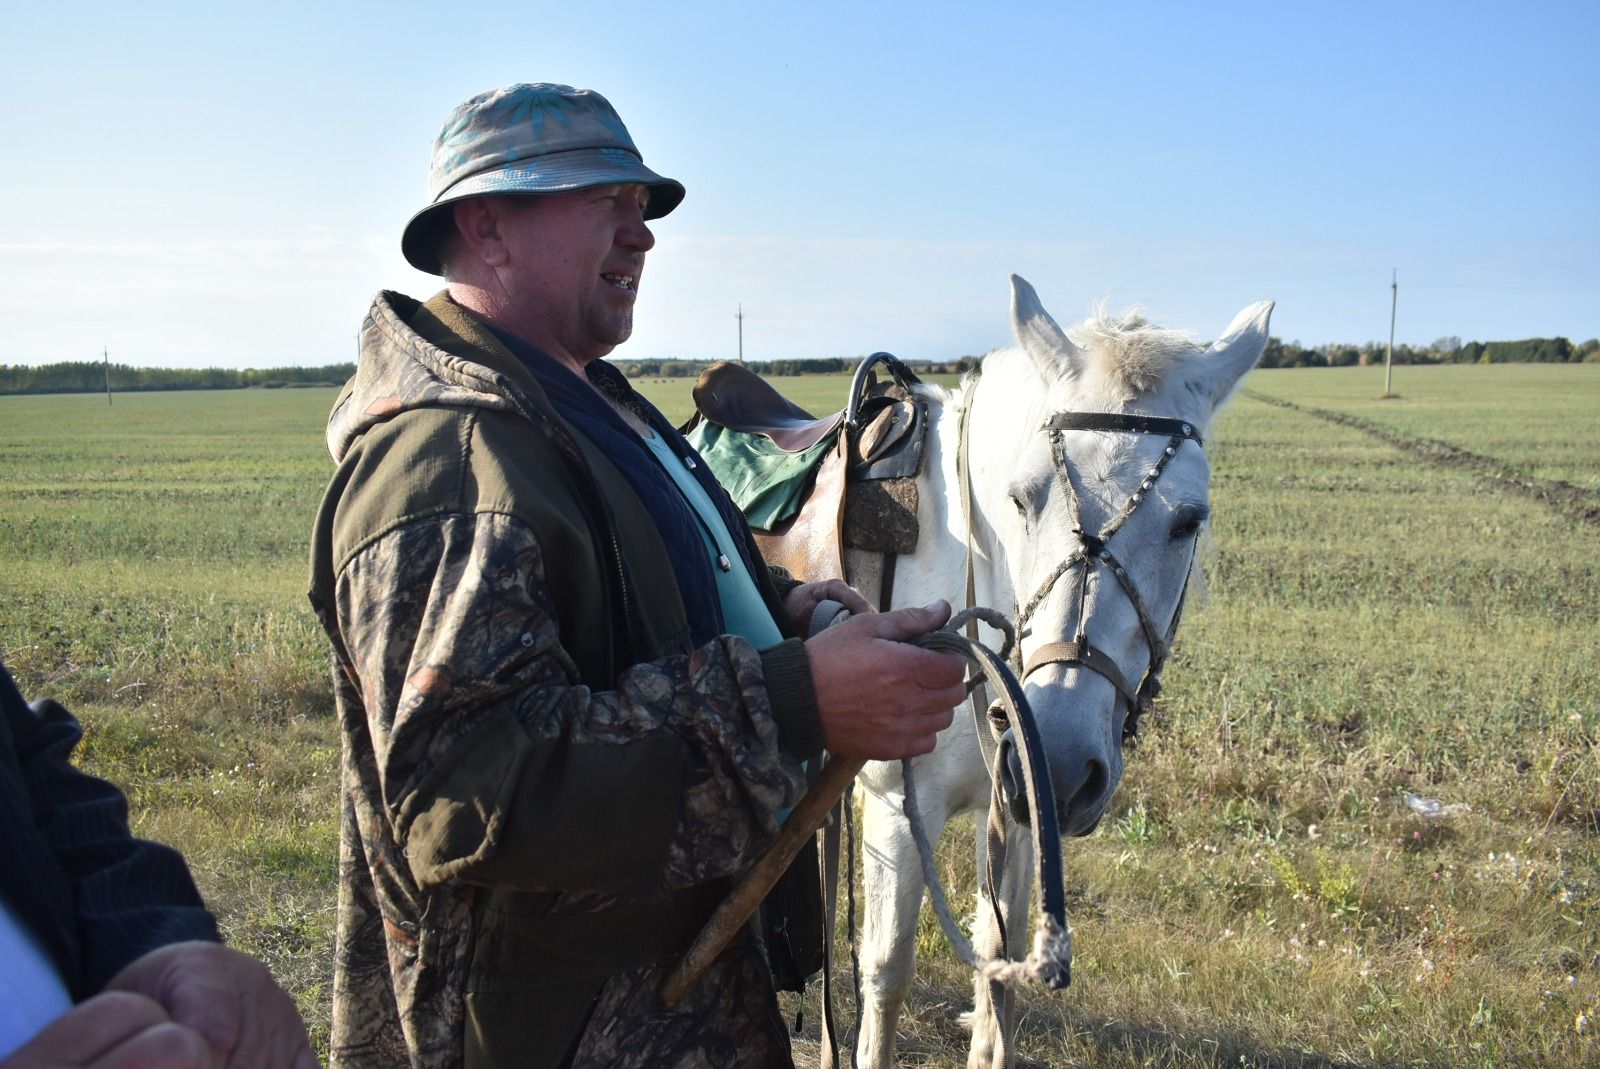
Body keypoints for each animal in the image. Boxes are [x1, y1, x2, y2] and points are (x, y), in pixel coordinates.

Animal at [844, 272, 1267, 1062]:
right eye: (1021, 496)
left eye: (1188, 520)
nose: (1065, 761)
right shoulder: (894, 807)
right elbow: (885, 975)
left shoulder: (1015, 812)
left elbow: (999, 974)